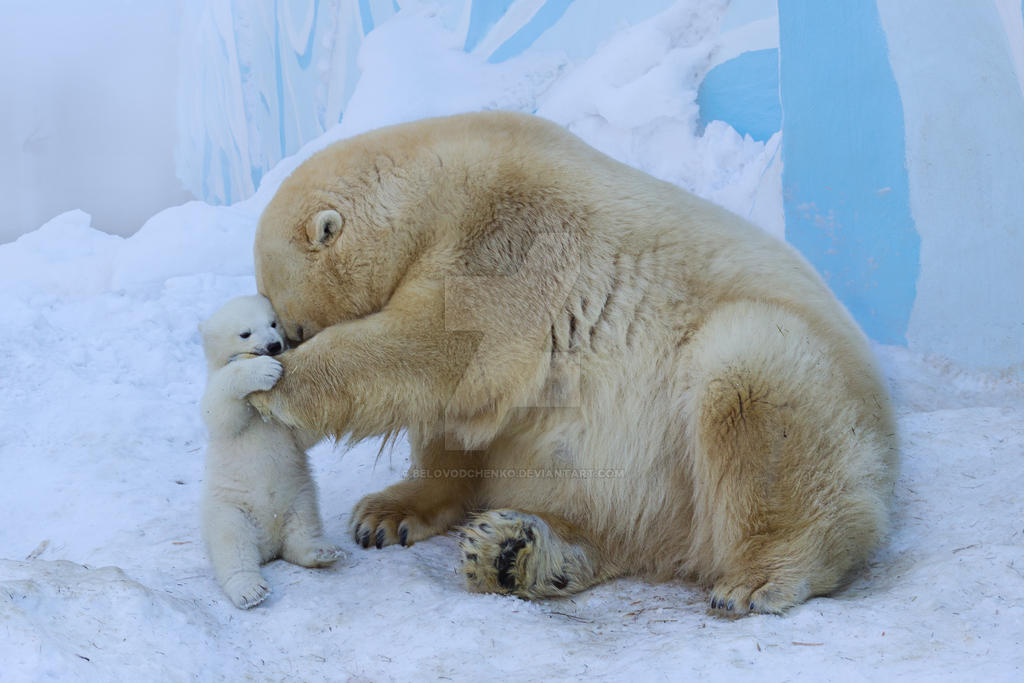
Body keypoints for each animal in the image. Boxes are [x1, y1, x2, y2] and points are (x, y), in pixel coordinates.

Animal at [198, 295, 344, 609]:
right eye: (245, 333)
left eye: (273, 323)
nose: (275, 346)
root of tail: (269, 546)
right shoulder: (220, 399)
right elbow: (220, 410)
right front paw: (264, 370)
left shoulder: (285, 429)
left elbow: (301, 435)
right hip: (229, 509)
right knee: (233, 546)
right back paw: (250, 590)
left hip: (299, 496)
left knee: (302, 528)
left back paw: (322, 551)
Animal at [249, 111, 898, 615]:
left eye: (290, 324)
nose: (279, 342)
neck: (437, 187)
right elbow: (460, 419)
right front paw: (387, 514)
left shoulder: (511, 239)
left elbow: (439, 347)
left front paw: (271, 388)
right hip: (650, 492)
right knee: (611, 521)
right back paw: (515, 553)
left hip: (796, 385)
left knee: (752, 383)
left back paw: (760, 576)